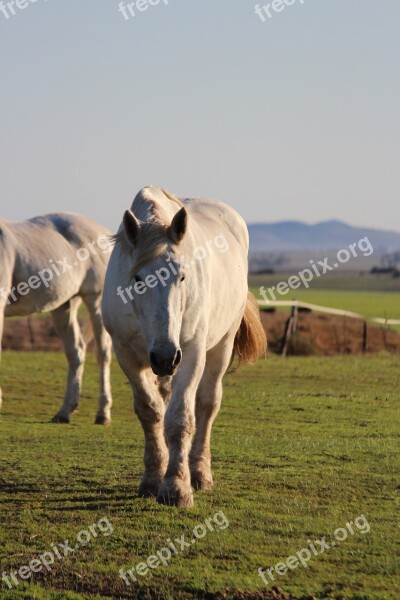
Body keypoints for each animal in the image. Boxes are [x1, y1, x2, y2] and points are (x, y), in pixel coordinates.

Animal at [0, 213, 113, 424]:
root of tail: (103, 232)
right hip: (65, 305)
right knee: (76, 352)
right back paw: (64, 411)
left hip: (95, 300)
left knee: (102, 353)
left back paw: (102, 413)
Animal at [102, 188, 266, 506]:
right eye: (138, 279)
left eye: (182, 276)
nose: (165, 356)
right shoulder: (126, 354)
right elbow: (150, 411)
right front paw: (153, 478)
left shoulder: (190, 353)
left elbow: (180, 419)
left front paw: (177, 487)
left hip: (220, 347)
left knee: (207, 404)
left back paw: (200, 473)